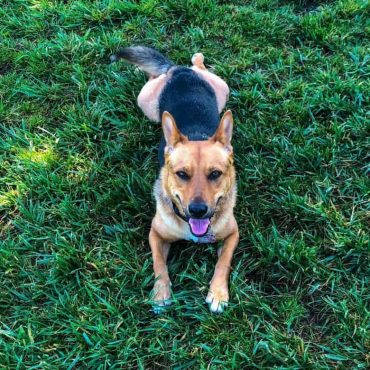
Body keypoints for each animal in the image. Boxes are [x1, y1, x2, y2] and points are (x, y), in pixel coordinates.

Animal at [111, 46, 240, 312]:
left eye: (215, 174)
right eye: (182, 174)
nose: (198, 210)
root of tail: (179, 72)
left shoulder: (233, 233)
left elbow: (224, 261)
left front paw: (218, 293)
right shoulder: (155, 234)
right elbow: (158, 265)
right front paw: (161, 294)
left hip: (222, 91)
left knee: (197, 65)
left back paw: (196, 59)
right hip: (146, 103)